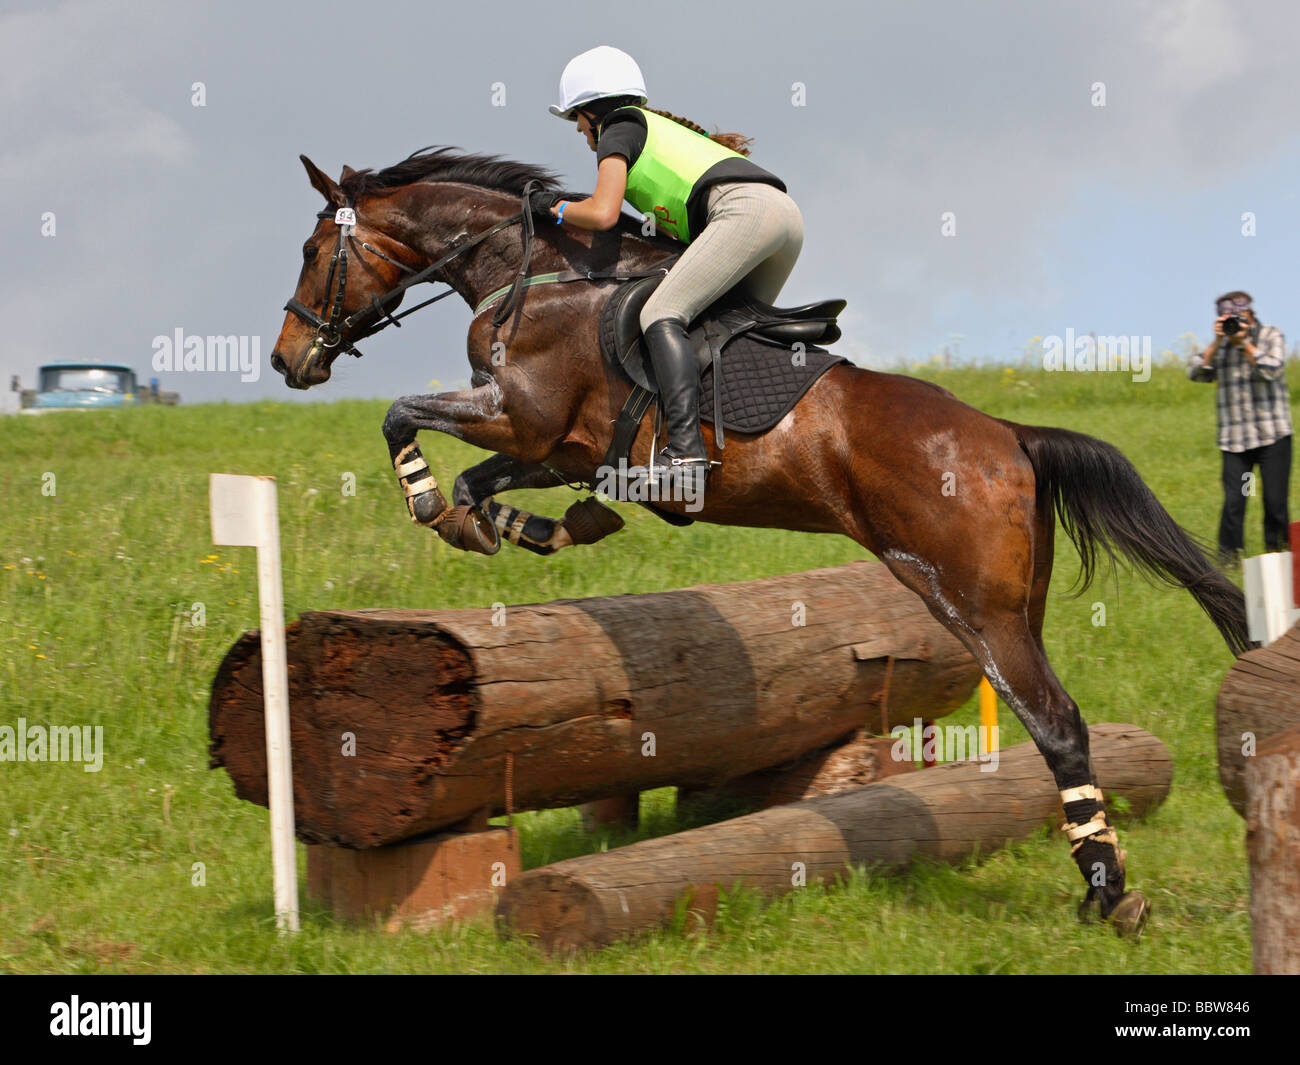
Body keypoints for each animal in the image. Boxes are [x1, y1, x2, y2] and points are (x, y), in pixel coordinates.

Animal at [271, 147, 1248, 931]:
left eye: (315, 253)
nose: (288, 361)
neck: (534, 276)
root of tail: (1010, 434)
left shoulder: (524, 417)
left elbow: (404, 416)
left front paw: (434, 504)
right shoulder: (561, 449)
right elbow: (492, 485)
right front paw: (523, 525)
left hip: (975, 608)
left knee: (1057, 723)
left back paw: (1108, 892)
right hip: (1017, 604)